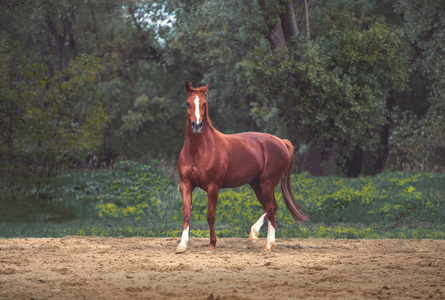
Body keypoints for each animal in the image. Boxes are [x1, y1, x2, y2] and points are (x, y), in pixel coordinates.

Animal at [175, 82, 306, 253]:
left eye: (204, 104)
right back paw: (268, 245)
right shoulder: (186, 185)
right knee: (271, 208)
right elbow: (186, 213)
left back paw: (254, 236)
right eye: (187, 103)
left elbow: (210, 216)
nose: (197, 125)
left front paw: (212, 245)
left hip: (267, 183)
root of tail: (282, 142)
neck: (198, 150)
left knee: (272, 207)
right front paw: (182, 244)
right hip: (257, 185)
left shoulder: (213, 187)